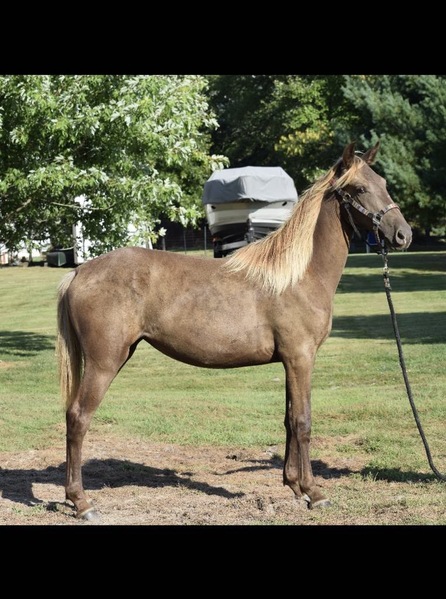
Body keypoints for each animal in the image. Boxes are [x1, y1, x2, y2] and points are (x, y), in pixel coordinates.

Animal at [57, 142, 412, 520]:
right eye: (358, 189)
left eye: (383, 183)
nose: (403, 234)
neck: (298, 275)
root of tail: (79, 272)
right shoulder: (301, 358)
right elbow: (303, 422)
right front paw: (314, 492)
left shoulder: (290, 362)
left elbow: (289, 420)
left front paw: (293, 485)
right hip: (104, 362)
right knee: (78, 418)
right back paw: (81, 502)